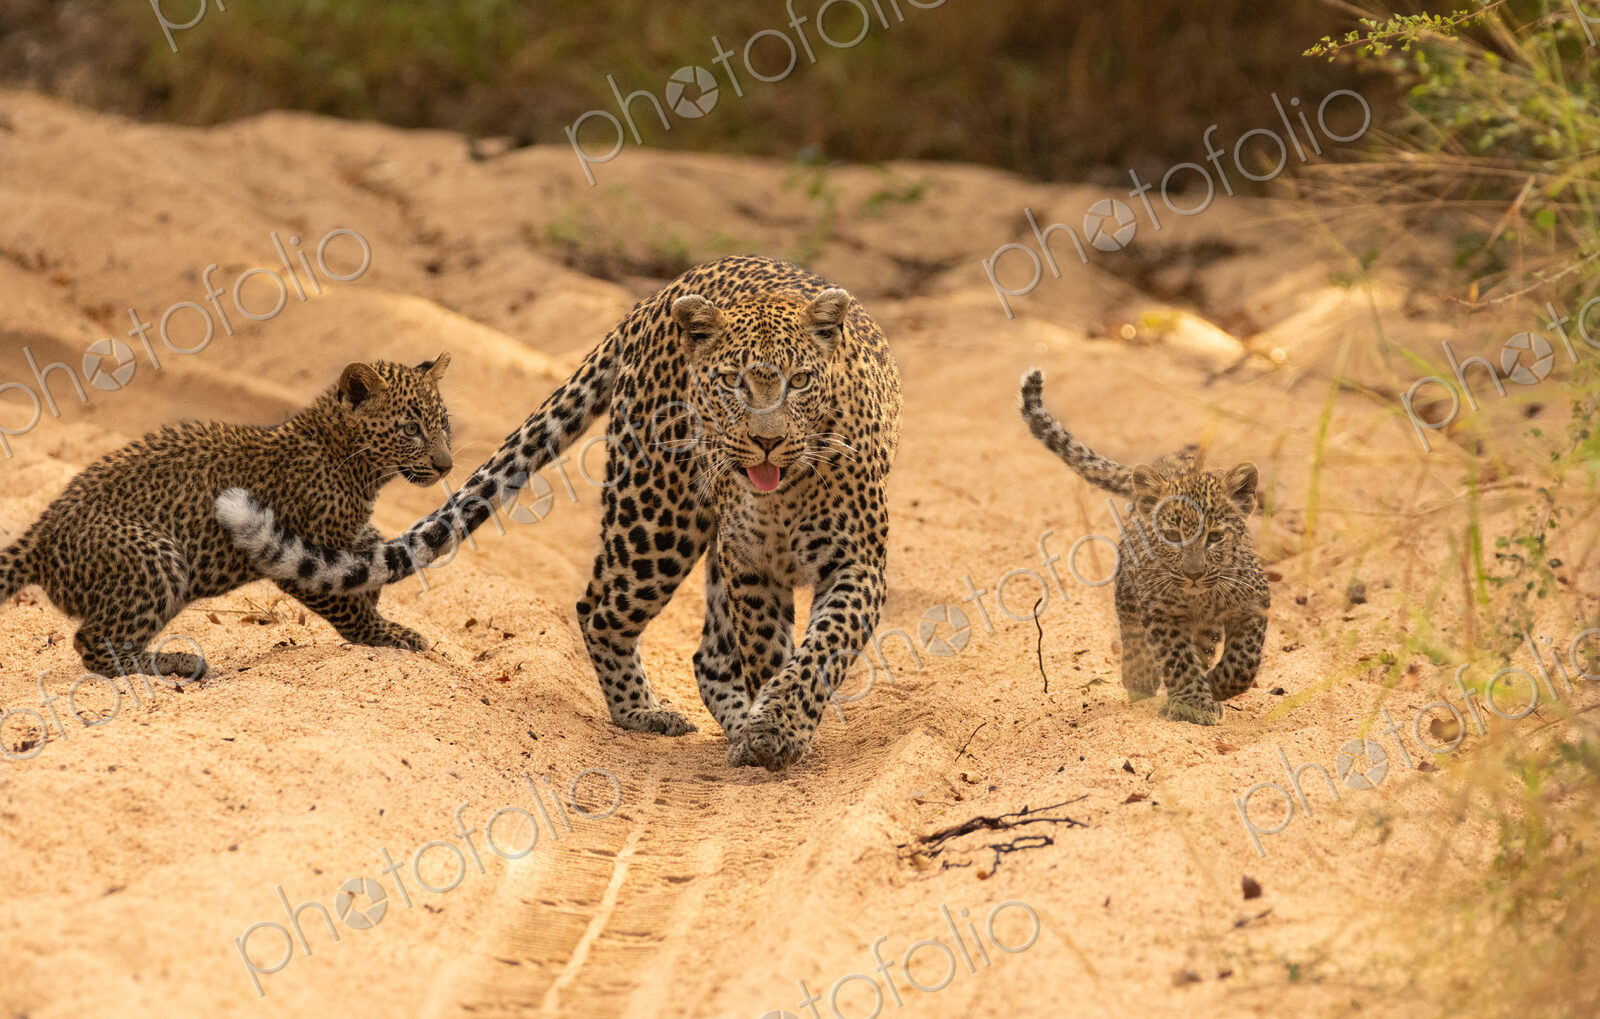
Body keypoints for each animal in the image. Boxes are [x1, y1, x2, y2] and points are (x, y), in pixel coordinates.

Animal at [0, 355, 456, 682]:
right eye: (411, 428)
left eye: (444, 423)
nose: (447, 465)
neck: (350, 461)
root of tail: (41, 535)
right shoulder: (299, 558)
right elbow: (349, 606)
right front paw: (390, 636)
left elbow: (368, 548)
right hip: (157, 557)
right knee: (94, 643)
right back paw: (175, 664)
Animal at [214, 255, 902, 771]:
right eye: (734, 382)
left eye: (799, 381)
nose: (764, 440)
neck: (787, 487)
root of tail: (663, 293)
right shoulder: (753, 566)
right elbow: (770, 653)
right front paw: (772, 734)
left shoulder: (856, 563)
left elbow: (822, 648)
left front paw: (775, 729)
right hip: (658, 514)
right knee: (603, 610)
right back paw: (648, 714)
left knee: (707, 653)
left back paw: (727, 723)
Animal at [1020, 369, 1269, 725]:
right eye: (1173, 537)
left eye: (1215, 538)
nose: (1194, 574)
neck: (1201, 598)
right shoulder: (1162, 613)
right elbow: (1178, 660)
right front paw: (1195, 703)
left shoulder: (1255, 602)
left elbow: (1244, 661)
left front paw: (1217, 686)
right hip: (1129, 581)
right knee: (1130, 624)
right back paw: (1139, 677)